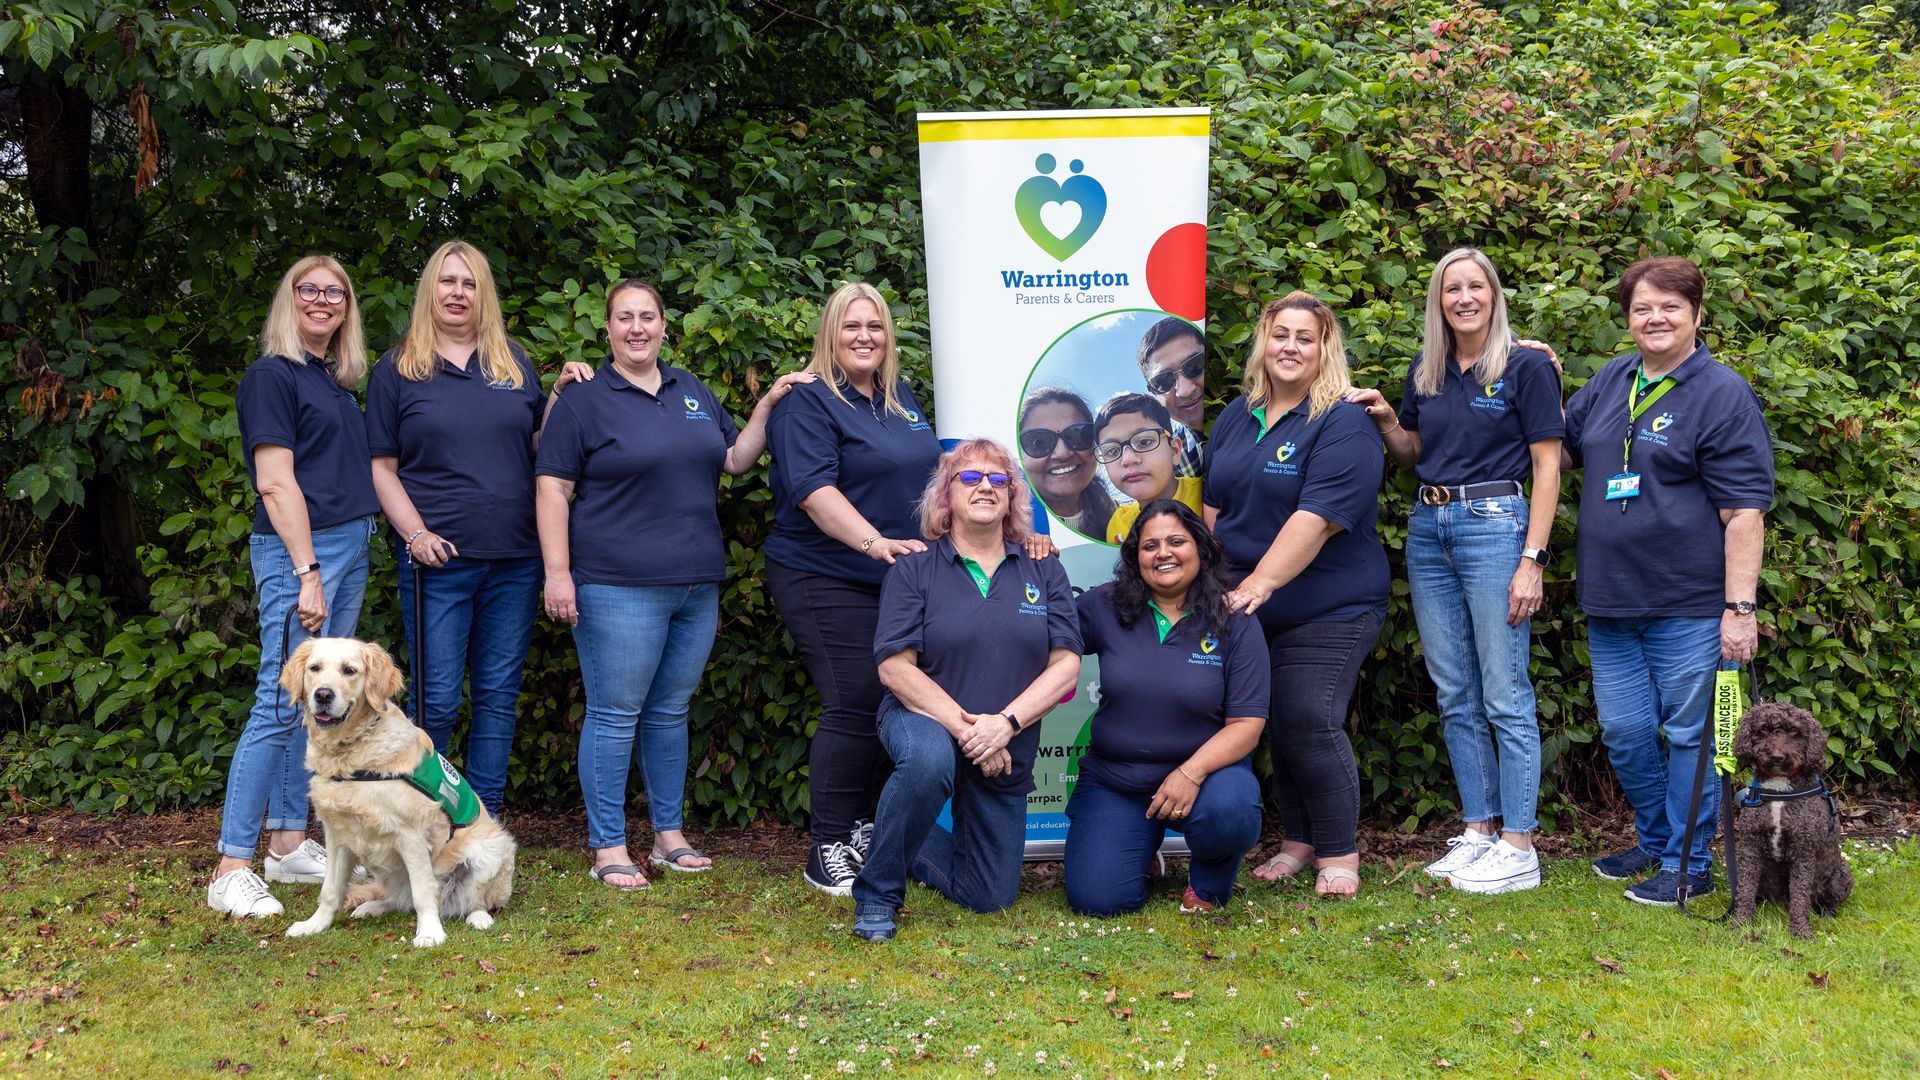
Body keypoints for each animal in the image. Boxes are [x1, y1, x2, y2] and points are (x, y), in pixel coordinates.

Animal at [278, 634, 514, 945]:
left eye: (349, 670)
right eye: (314, 668)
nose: (323, 695)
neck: (351, 755)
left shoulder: (411, 835)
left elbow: (424, 893)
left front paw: (430, 933)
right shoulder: (338, 835)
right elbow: (330, 890)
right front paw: (315, 925)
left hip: (490, 850)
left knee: (472, 900)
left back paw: (479, 917)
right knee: (401, 900)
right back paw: (372, 906)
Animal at [1735, 699, 1850, 933]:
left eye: (1794, 731)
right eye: (1764, 730)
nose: (1778, 756)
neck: (1780, 790)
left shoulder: (1803, 851)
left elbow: (1800, 895)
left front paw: (1800, 931)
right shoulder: (1750, 847)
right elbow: (1745, 889)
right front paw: (1741, 923)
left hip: (1842, 873)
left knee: (1824, 899)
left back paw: (1828, 913)